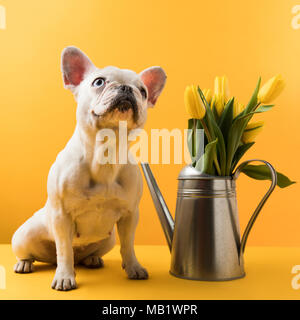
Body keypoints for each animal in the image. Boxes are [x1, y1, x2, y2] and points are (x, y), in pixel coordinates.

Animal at [11, 47, 166, 290]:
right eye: (99, 82)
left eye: (142, 91)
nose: (126, 88)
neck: (106, 153)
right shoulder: (62, 216)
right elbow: (64, 250)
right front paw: (64, 277)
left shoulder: (130, 215)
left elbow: (128, 245)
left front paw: (133, 267)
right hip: (24, 235)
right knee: (39, 252)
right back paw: (24, 263)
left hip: (109, 239)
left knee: (85, 254)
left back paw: (92, 259)